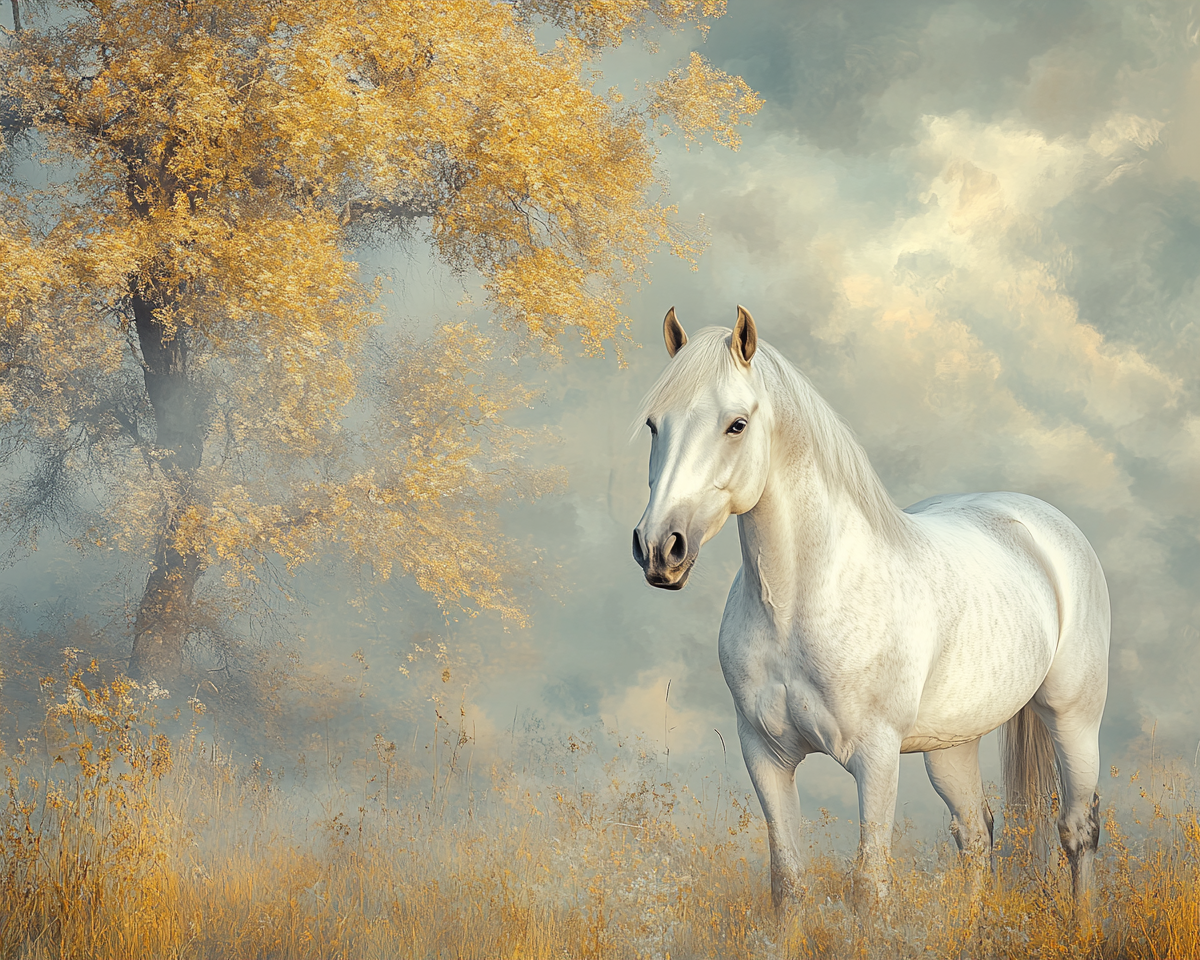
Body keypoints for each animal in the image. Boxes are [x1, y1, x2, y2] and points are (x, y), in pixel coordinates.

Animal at [633, 306, 1108, 907]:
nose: (659, 548)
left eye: (736, 424)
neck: (800, 604)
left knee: (1077, 830)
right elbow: (788, 883)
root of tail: (1039, 521)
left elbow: (869, 883)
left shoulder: (876, 757)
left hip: (1074, 718)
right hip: (952, 744)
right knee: (975, 834)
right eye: (655, 425)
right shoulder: (764, 755)